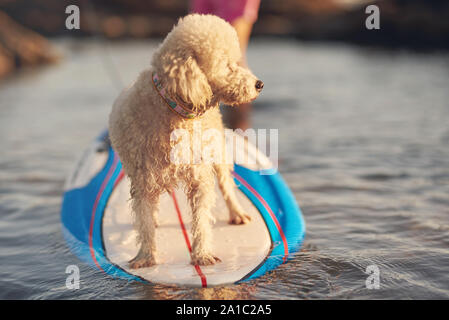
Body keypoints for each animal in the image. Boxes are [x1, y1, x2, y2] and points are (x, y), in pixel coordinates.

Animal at [108, 13, 262, 268]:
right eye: (226, 65)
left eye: (236, 61)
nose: (259, 84)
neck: (172, 109)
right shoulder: (143, 181)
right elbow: (144, 222)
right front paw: (146, 257)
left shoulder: (199, 177)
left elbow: (201, 219)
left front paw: (201, 254)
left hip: (218, 149)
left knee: (226, 184)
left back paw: (237, 213)